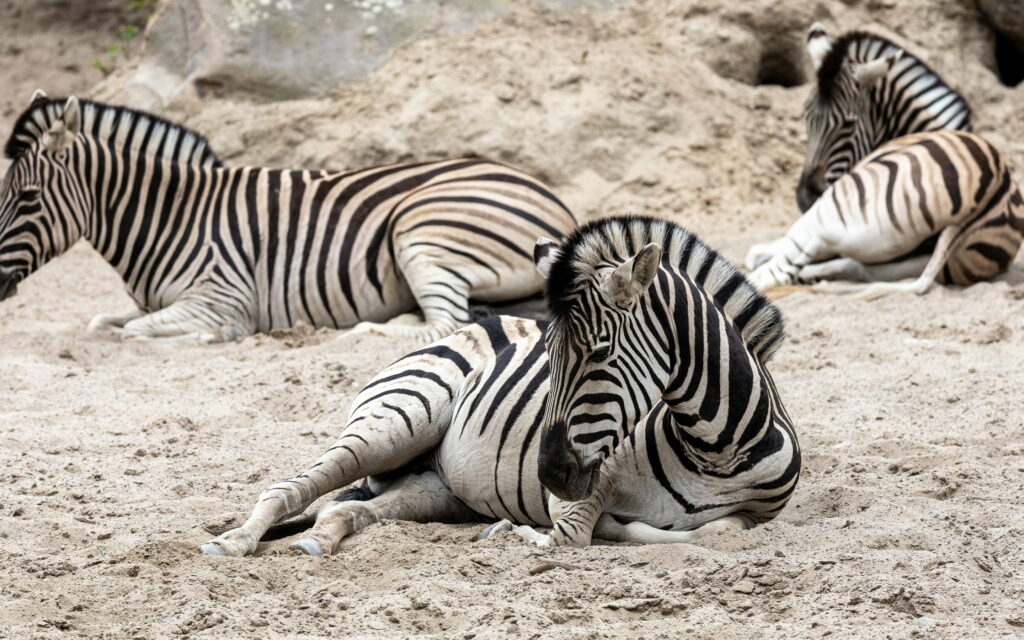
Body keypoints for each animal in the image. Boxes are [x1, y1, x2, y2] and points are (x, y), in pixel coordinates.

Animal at [0, 92, 576, 343]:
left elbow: (133, 332)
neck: (169, 218)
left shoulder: (223, 296)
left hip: (421, 229)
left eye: (26, 197)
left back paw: (366, 330)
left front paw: (222, 337)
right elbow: (106, 323)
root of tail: (552, 196)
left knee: (447, 323)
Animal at [200, 216, 800, 556]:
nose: (548, 473)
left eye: (600, 352)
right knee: (287, 488)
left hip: (436, 487)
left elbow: (719, 531)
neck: (714, 452)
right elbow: (570, 537)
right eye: (547, 358)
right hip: (395, 422)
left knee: (342, 511)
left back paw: (316, 542)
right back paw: (233, 542)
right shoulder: (587, 487)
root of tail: (474, 323)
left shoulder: (760, 516)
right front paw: (516, 533)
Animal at [747, 130, 1024, 298]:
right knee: (856, 268)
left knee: (774, 273)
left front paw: (757, 254)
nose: (804, 195)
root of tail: (994, 188)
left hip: (832, 211)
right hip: (912, 258)